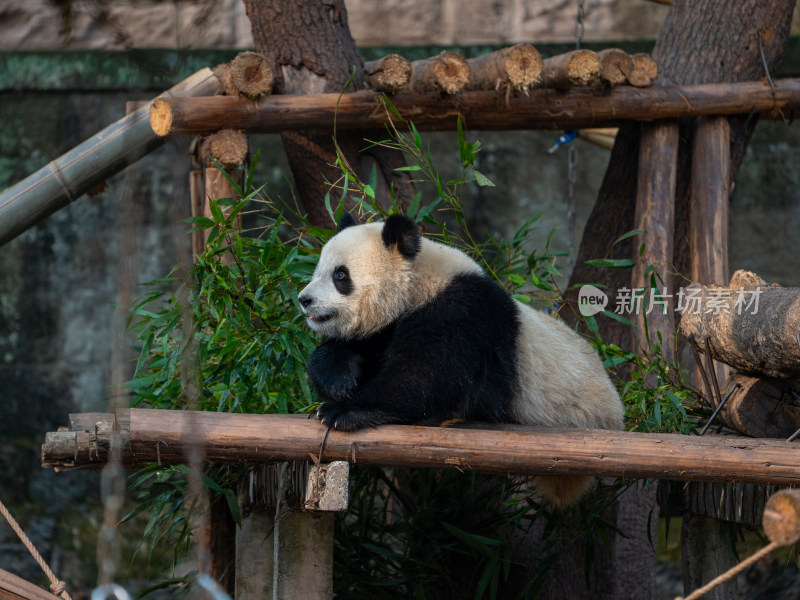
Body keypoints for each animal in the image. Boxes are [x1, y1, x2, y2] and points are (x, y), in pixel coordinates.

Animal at [298, 213, 624, 508]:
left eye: (340, 275)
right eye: (318, 269)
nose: (304, 299)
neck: (420, 282)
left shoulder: (460, 313)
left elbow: (425, 376)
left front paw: (343, 411)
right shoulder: (387, 327)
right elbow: (352, 350)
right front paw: (340, 381)